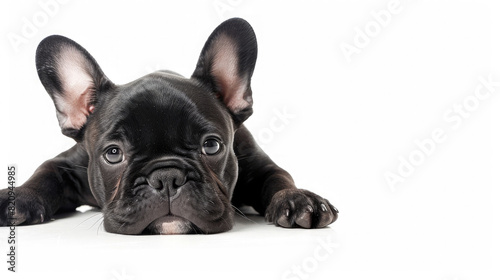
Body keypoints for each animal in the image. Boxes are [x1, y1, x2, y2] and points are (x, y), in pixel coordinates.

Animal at [0, 18, 338, 234]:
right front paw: (18, 199)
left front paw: (299, 199)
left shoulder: (256, 163)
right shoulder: (68, 164)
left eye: (211, 146)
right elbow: (44, 173)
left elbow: (278, 178)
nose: (166, 177)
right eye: (113, 154)